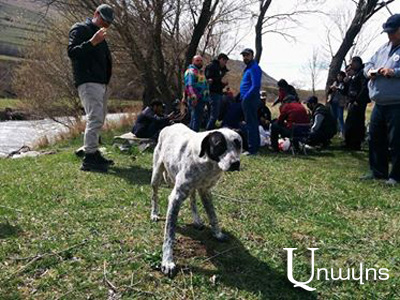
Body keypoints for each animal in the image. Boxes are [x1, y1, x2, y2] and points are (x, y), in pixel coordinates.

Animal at [150, 123, 242, 276]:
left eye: (238, 144)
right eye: (219, 145)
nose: (235, 163)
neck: (208, 163)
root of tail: (169, 125)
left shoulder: (206, 191)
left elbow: (213, 215)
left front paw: (217, 234)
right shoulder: (176, 197)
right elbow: (169, 234)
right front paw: (167, 262)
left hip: (192, 188)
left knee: (192, 199)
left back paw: (197, 220)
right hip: (156, 175)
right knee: (154, 195)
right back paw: (154, 213)